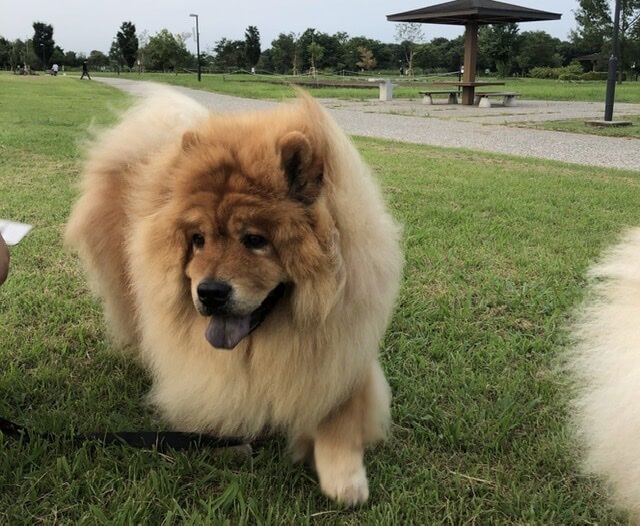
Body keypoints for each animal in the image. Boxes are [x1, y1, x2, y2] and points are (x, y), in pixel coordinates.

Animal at [66, 88, 404, 506]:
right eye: (198, 240)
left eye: (255, 240)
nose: (209, 292)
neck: (275, 338)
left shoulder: (342, 354)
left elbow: (339, 418)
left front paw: (345, 479)